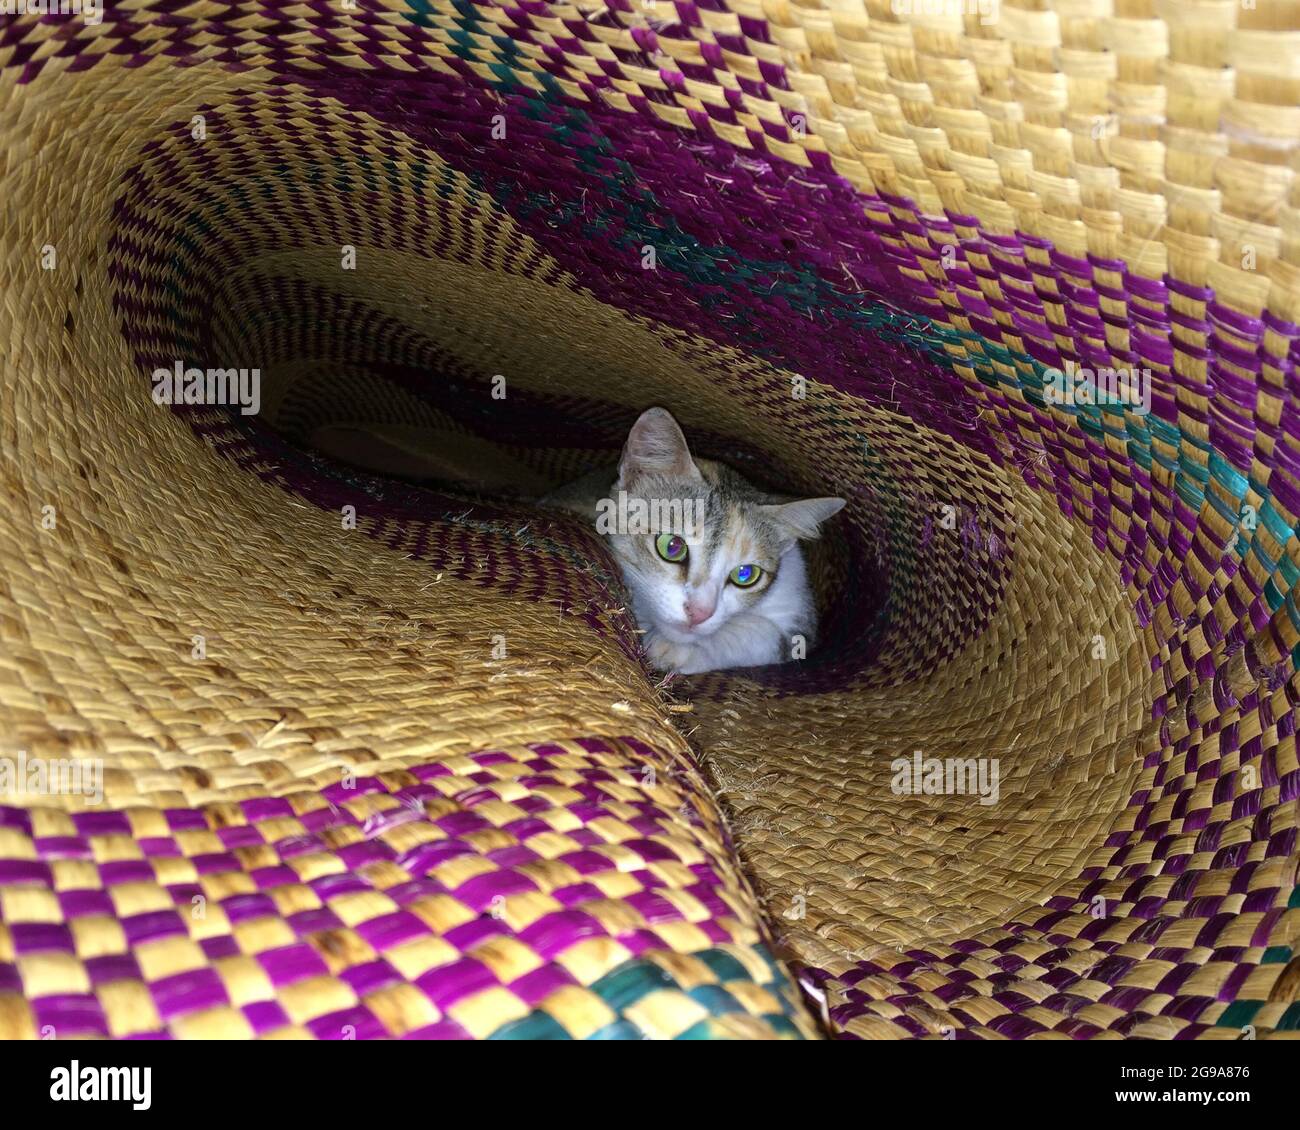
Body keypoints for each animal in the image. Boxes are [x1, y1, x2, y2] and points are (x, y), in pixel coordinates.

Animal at [538, 405, 842, 670]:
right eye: (671, 547)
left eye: (745, 574)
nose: (699, 613)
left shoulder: (798, 607)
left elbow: (763, 634)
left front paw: (676, 649)